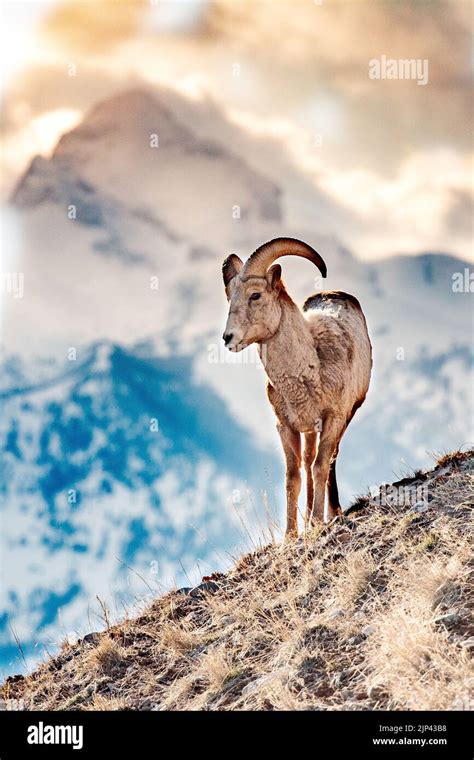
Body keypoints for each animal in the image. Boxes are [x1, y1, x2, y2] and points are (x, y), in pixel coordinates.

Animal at [220, 238, 372, 536]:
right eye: (230, 297)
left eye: (255, 295)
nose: (228, 338)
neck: (308, 371)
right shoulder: (286, 427)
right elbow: (294, 477)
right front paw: (290, 536)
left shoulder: (333, 419)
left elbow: (320, 466)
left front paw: (317, 522)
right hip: (309, 430)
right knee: (308, 460)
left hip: (340, 421)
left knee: (328, 460)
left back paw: (330, 514)